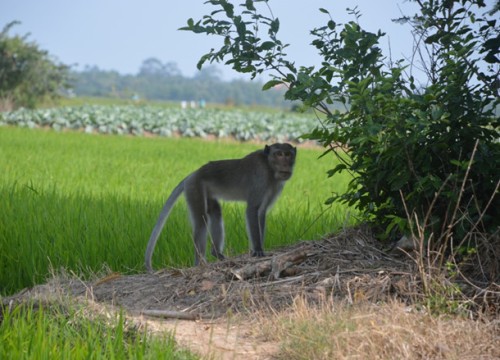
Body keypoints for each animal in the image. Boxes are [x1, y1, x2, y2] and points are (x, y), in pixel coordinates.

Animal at [144, 142, 296, 272]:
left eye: (288, 154)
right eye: (279, 154)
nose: (286, 164)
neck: (269, 167)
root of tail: (193, 174)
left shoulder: (275, 186)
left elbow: (262, 212)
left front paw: (259, 248)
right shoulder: (260, 177)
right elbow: (253, 209)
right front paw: (258, 249)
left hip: (207, 191)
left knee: (216, 212)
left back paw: (217, 253)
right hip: (195, 187)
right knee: (201, 222)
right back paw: (200, 263)